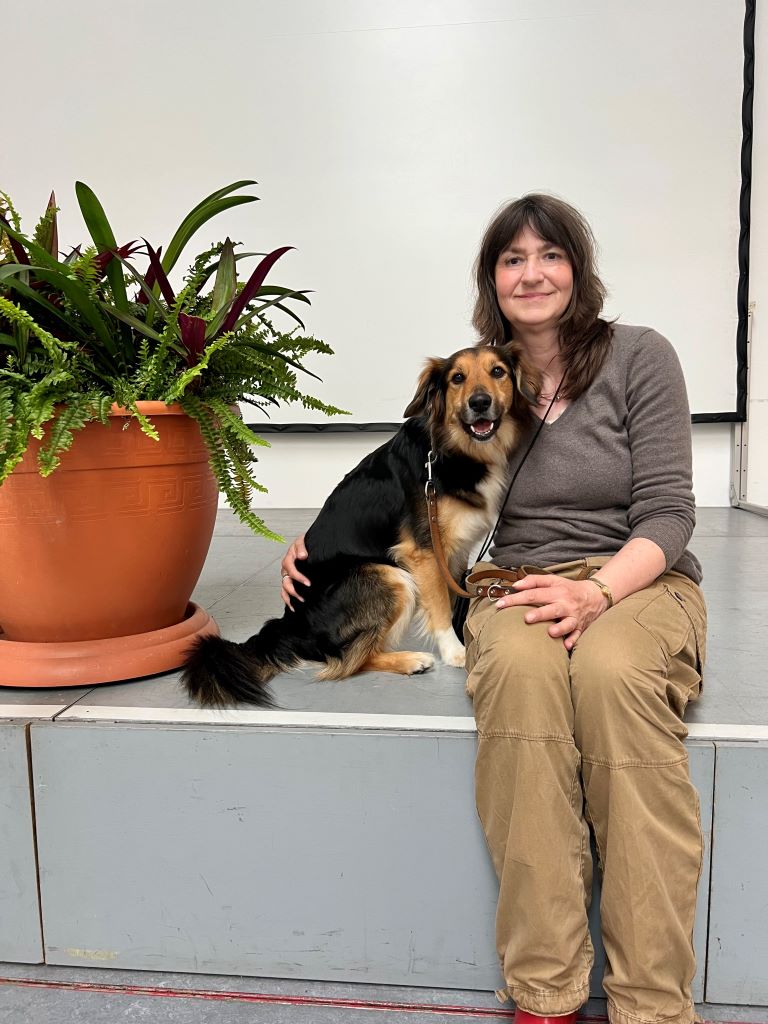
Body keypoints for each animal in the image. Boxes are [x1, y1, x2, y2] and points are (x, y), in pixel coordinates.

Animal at [182, 342, 536, 704]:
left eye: (498, 372)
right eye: (457, 378)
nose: (479, 403)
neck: (452, 450)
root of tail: (289, 626)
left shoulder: (455, 550)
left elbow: (451, 596)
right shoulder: (423, 551)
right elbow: (438, 604)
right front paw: (455, 651)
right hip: (389, 576)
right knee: (347, 661)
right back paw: (410, 661)